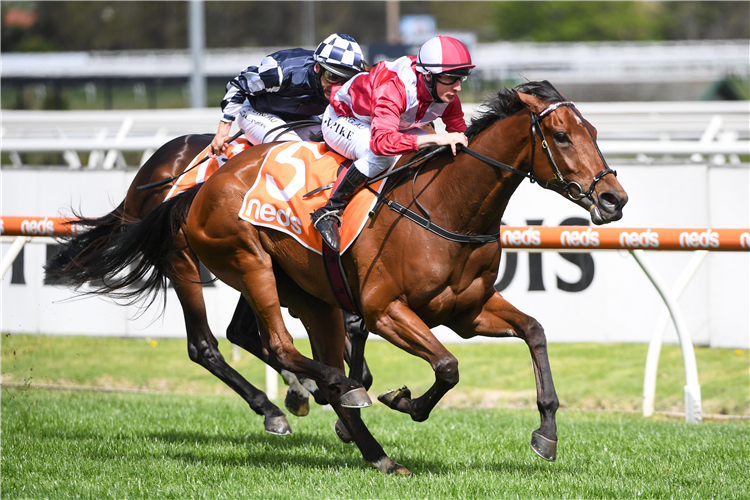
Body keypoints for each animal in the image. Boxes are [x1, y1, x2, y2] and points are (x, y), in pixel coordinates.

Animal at [53, 81, 632, 472]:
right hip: (237, 261)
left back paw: (370, 445)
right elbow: (446, 367)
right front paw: (403, 401)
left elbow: (534, 332)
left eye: (593, 132)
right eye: (561, 136)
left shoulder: (466, 310)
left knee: (271, 342)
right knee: (247, 344)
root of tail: (197, 184)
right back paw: (306, 400)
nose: (613, 199)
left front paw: (546, 432)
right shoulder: (384, 308)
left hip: (310, 295)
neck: (447, 207)